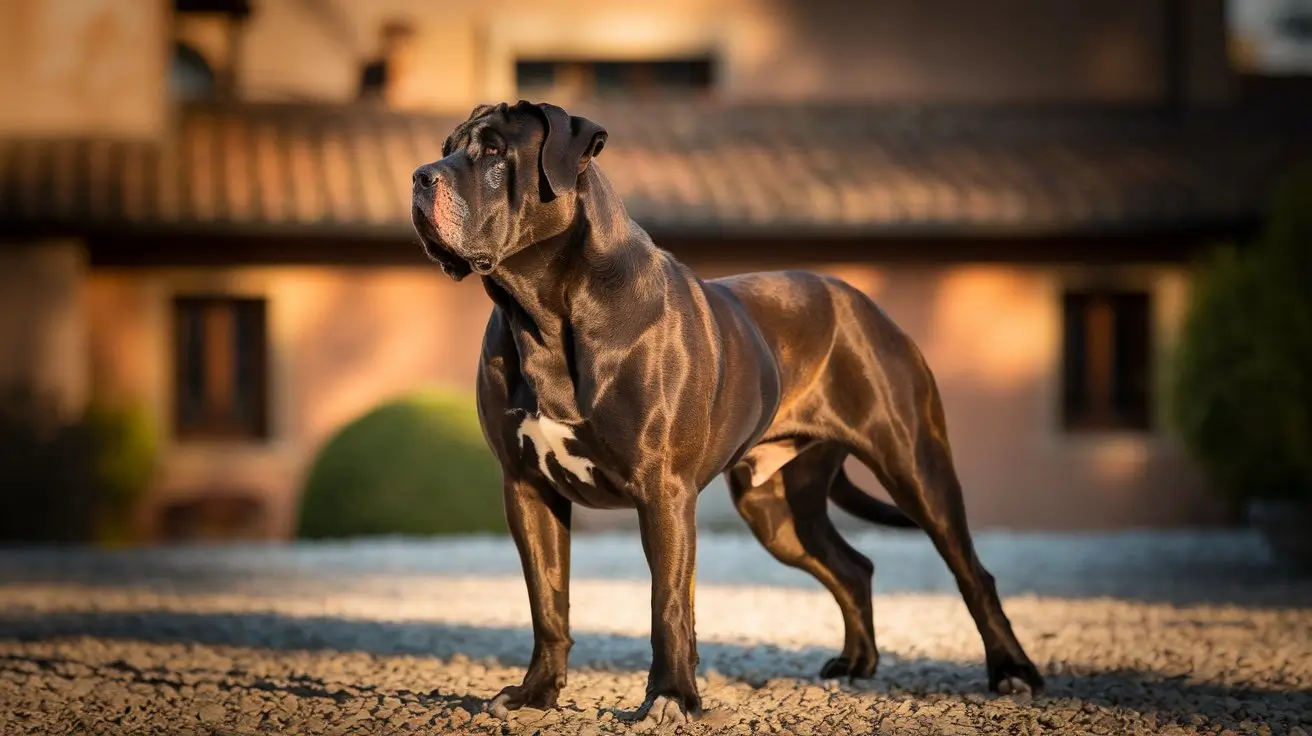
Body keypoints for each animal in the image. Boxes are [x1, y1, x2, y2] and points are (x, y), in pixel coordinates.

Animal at [409, 100, 1044, 718]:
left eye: (495, 152)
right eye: (445, 149)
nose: (420, 177)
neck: (541, 313)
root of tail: (864, 303)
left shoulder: (662, 490)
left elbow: (667, 602)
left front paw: (670, 698)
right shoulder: (527, 486)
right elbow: (547, 599)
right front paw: (536, 695)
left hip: (915, 468)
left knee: (972, 572)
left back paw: (1012, 672)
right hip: (778, 510)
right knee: (852, 567)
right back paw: (856, 664)